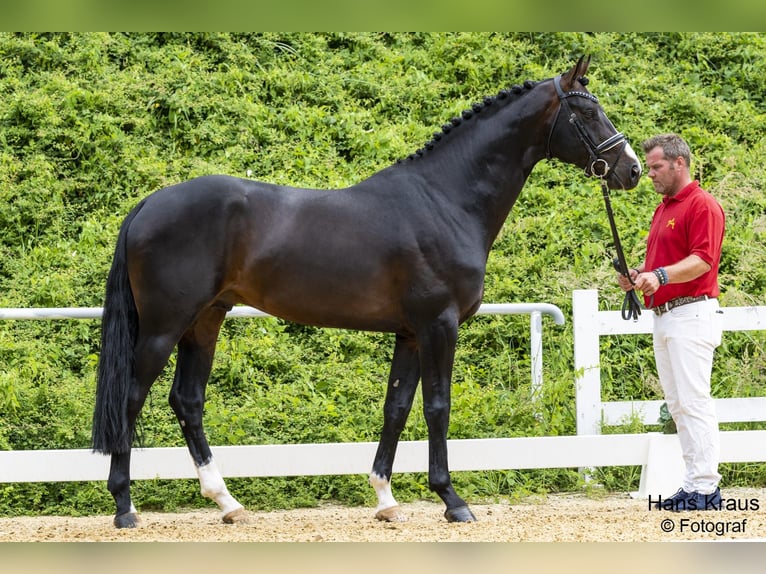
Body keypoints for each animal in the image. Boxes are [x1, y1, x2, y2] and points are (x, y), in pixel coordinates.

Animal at [91, 56, 640, 528]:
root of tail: (147, 205)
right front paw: (452, 500)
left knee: (187, 401)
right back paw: (125, 507)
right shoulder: (439, 325)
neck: (445, 200)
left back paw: (228, 502)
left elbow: (396, 408)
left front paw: (385, 499)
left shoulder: (411, 333)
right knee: (130, 400)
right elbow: (437, 407)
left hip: (205, 320)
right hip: (164, 326)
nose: (631, 169)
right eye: (586, 111)